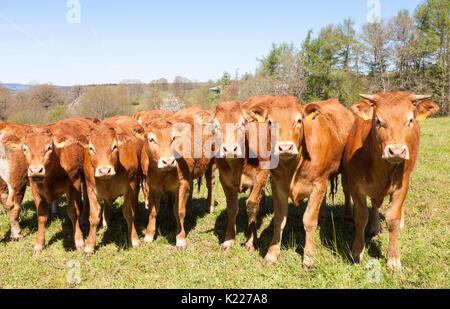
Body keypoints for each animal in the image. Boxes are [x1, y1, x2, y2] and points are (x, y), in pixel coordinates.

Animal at [80, 115, 144, 253]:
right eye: (91, 148)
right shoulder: (91, 189)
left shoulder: (130, 187)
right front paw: (89, 246)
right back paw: (106, 221)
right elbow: (94, 216)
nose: (105, 170)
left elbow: (128, 213)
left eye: (114, 146)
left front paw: (134, 239)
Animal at [213, 95, 272, 251]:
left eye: (241, 123)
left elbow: (251, 205)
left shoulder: (262, 175)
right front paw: (229, 240)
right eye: (216, 125)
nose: (229, 149)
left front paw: (251, 241)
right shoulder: (224, 179)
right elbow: (232, 207)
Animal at [250, 95, 356, 268]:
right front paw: (271, 255)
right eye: (270, 122)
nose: (285, 147)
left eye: (299, 120)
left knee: (346, 189)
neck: (293, 166)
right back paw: (323, 215)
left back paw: (347, 214)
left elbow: (309, 220)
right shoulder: (277, 185)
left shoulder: (318, 183)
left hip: (344, 170)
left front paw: (308, 257)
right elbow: (279, 220)